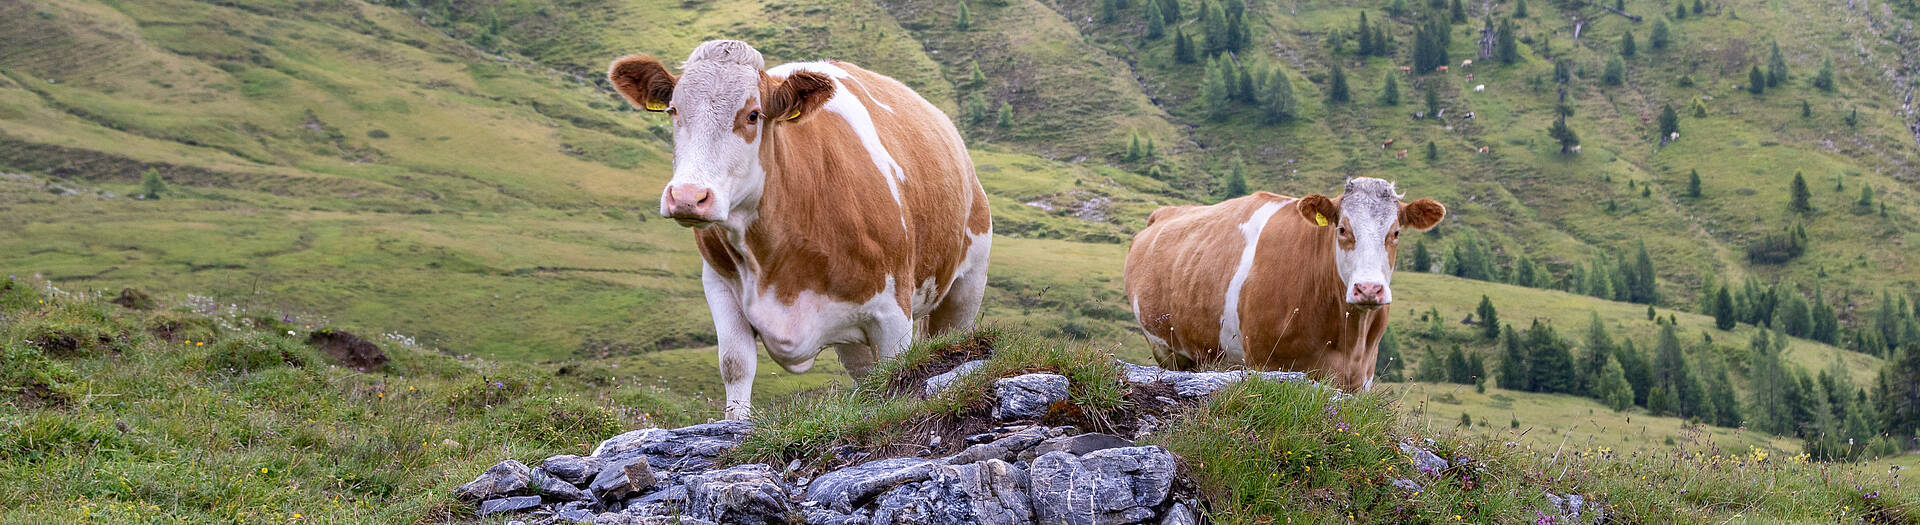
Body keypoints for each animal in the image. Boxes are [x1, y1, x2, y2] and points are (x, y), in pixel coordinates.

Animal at [606, 39, 998, 417]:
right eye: (673, 110)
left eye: (753, 114)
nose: (688, 196)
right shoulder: (719, 284)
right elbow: (735, 364)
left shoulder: (892, 310)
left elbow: (897, 370)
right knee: (867, 375)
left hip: (966, 283)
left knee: (948, 334)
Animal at [1121, 177, 1443, 390]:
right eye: (1342, 229)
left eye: (1396, 232)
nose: (1368, 289)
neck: (1348, 337)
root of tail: (1164, 212)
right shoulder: (1266, 362)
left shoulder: (1362, 376)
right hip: (1165, 350)